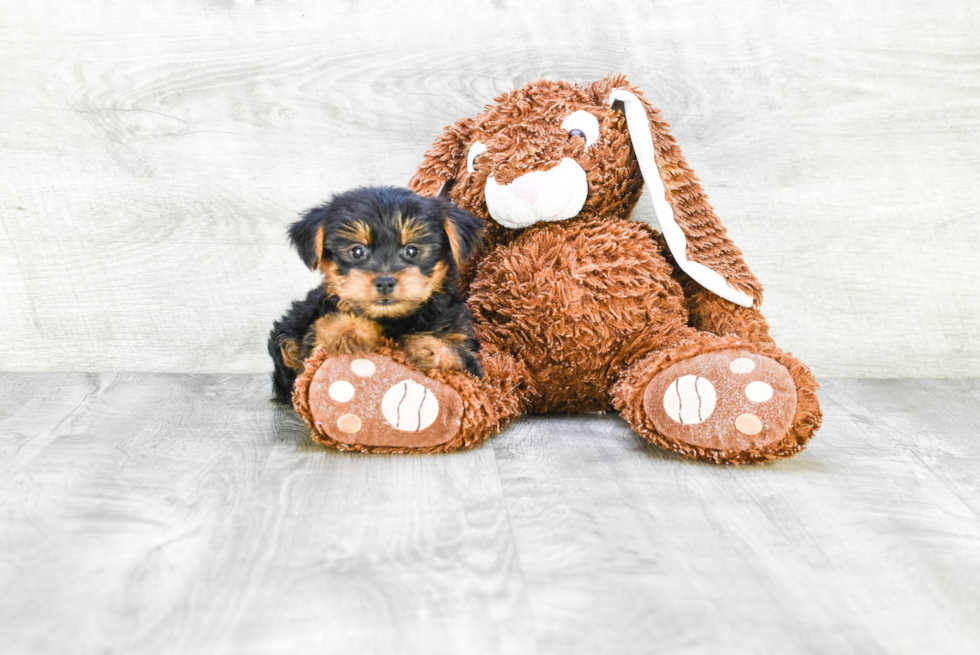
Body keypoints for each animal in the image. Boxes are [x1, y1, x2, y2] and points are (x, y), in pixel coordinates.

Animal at [268, 184, 482, 400]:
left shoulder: (469, 355)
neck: (393, 319)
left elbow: (460, 354)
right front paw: (348, 328)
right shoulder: (313, 343)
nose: (385, 282)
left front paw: (429, 347)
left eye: (412, 250)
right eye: (357, 251)